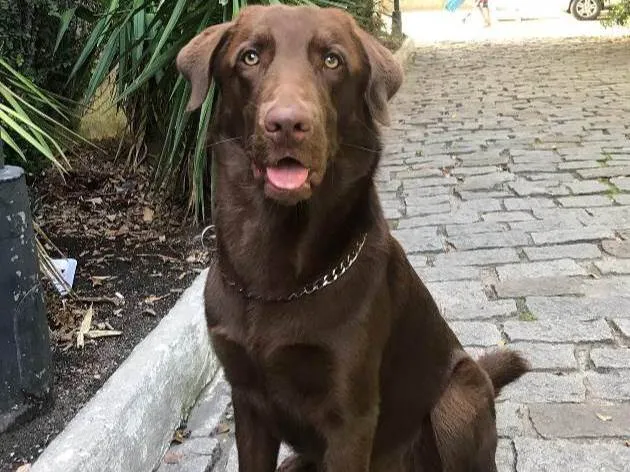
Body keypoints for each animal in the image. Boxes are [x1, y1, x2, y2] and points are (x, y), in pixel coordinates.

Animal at [177, 4, 528, 472]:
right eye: (250, 57)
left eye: (333, 61)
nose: (286, 124)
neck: (274, 277)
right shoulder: (246, 401)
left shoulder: (350, 415)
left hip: (459, 395)